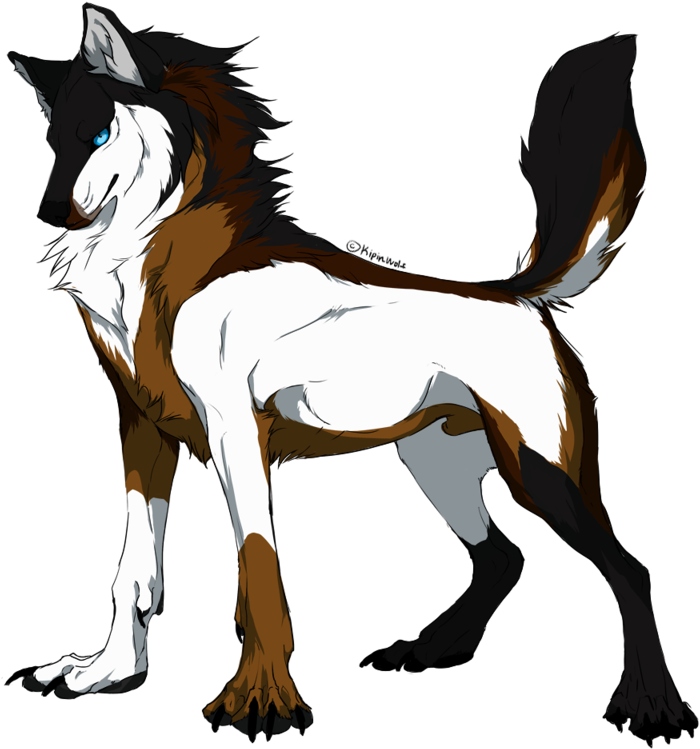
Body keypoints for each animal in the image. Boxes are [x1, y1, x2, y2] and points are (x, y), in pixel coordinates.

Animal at [7, 4, 696, 740]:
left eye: (99, 133)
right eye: (52, 141)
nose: (48, 213)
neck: (159, 270)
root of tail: (518, 295)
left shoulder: (233, 429)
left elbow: (257, 561)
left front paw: (259, 703)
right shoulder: (142, 432)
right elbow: (133, 571)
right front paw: (108, 673)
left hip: (540, 468)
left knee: (628, 570)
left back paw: (648, 701)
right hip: (437, 467)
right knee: (501, 559)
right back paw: (430, 651)